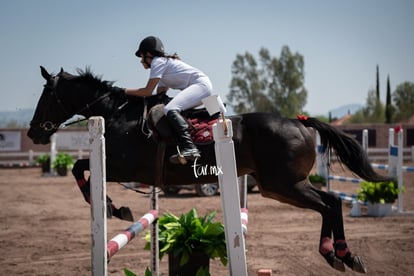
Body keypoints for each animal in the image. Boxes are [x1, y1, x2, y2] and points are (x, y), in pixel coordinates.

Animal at [29, 66, 392, 272]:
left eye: (46, 95)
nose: (34, 133)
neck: (116, 115)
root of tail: (299, 122)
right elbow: (80, 168)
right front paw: (114, 206)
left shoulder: (124, 167)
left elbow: (80, 168)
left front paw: (111, 207)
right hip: (280, 187)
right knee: (331, 202)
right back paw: (339, 255)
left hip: (284, 185)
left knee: (329, 204)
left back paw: (339, 254)